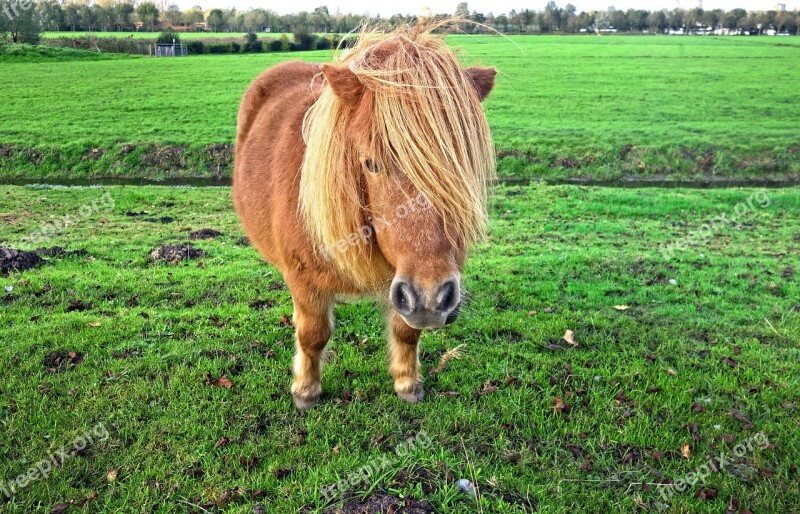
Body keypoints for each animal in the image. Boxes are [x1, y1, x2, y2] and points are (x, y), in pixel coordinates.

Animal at [231, 21, 494, 408]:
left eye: (461, 165)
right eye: (370, 163)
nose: (431, 300)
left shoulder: (403, 284)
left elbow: (406, 330)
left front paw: (406, 383)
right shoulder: (303, 280)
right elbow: (312, 334)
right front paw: (305, 390)